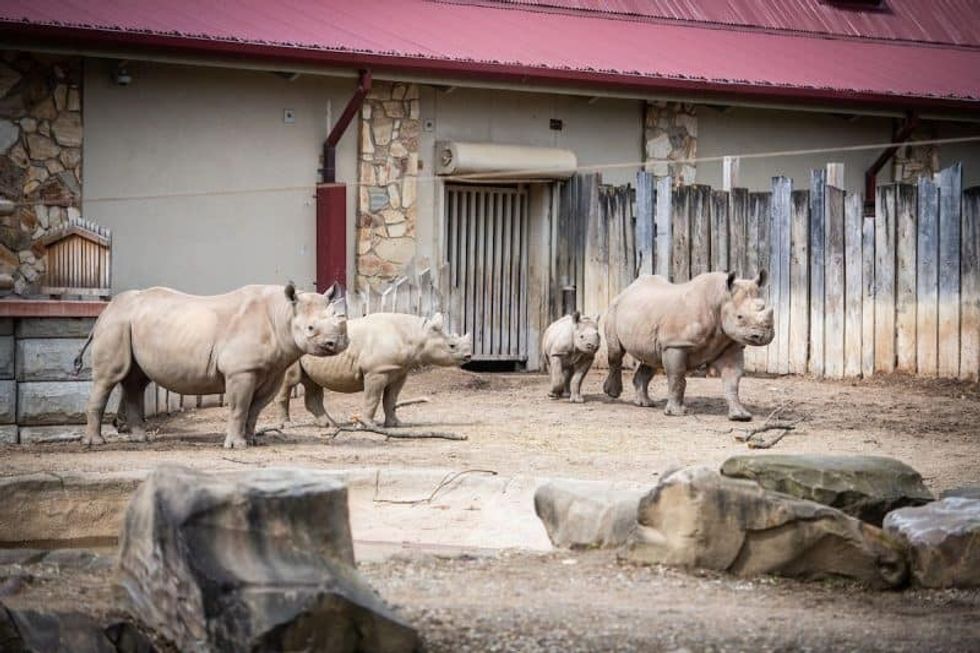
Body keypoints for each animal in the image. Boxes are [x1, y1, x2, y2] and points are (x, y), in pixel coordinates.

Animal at [78, 283, 348, 449]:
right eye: (310, 329)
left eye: (339, 321)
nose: (336, 344)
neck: (283, 314)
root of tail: (104, 312)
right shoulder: (241, 370)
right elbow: (239, 407)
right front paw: (237, 446)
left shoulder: (272, 371)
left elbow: (254, 410)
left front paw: (252, 441)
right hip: (116, 324)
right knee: (108, 378)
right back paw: (95, 443)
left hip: (129, 324)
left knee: (135, 381)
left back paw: (140, 439)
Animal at [275, 312, 472, 429]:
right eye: (452, 346)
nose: (469, 356)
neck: (415, 335)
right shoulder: (376, 371)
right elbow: (373, 398)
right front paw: (369, 426)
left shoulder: (399, 371)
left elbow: (391, 399)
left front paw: (396, 424)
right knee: (290, 381)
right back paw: (287, 425)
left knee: (313, 384)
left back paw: (331, 425)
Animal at [603, 271, 773, 421]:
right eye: (740, 317)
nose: (763, 336)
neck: (720, 298)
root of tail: (626, 290)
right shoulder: (676, 344)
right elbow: (677, 378)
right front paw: (677, 413)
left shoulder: (730, 345)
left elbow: (732, 380)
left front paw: (740, 416)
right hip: (614, 308)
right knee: (616, 353)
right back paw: (613, 393)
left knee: (652, 359)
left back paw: (645, 404)